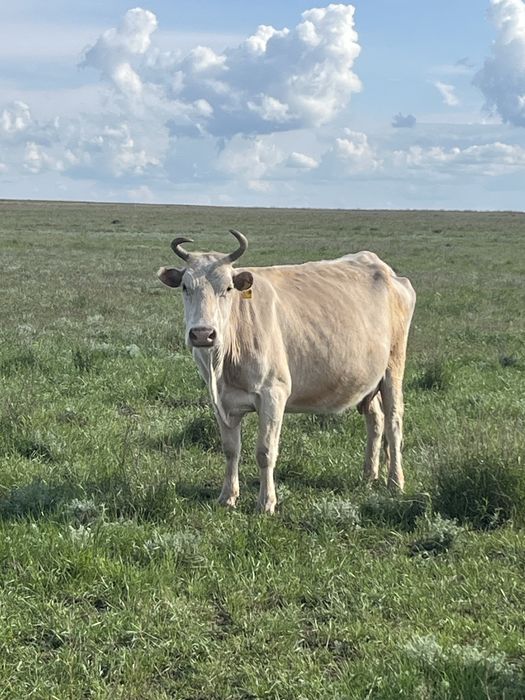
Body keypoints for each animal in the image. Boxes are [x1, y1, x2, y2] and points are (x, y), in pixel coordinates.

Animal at [158, 229, 416, 513]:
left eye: (227, 288)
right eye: (185, 287)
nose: (203, 334)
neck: (222, 365)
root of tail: (386, 270)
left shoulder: (273, 393)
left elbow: (265, 451)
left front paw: (266, 502)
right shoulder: (222, 402)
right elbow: (230, 449)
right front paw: (227, 496)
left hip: (393, 367)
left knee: (393, 421)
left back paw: (395, 482)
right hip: (368, 381)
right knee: (376, 419)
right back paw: (369, 475)